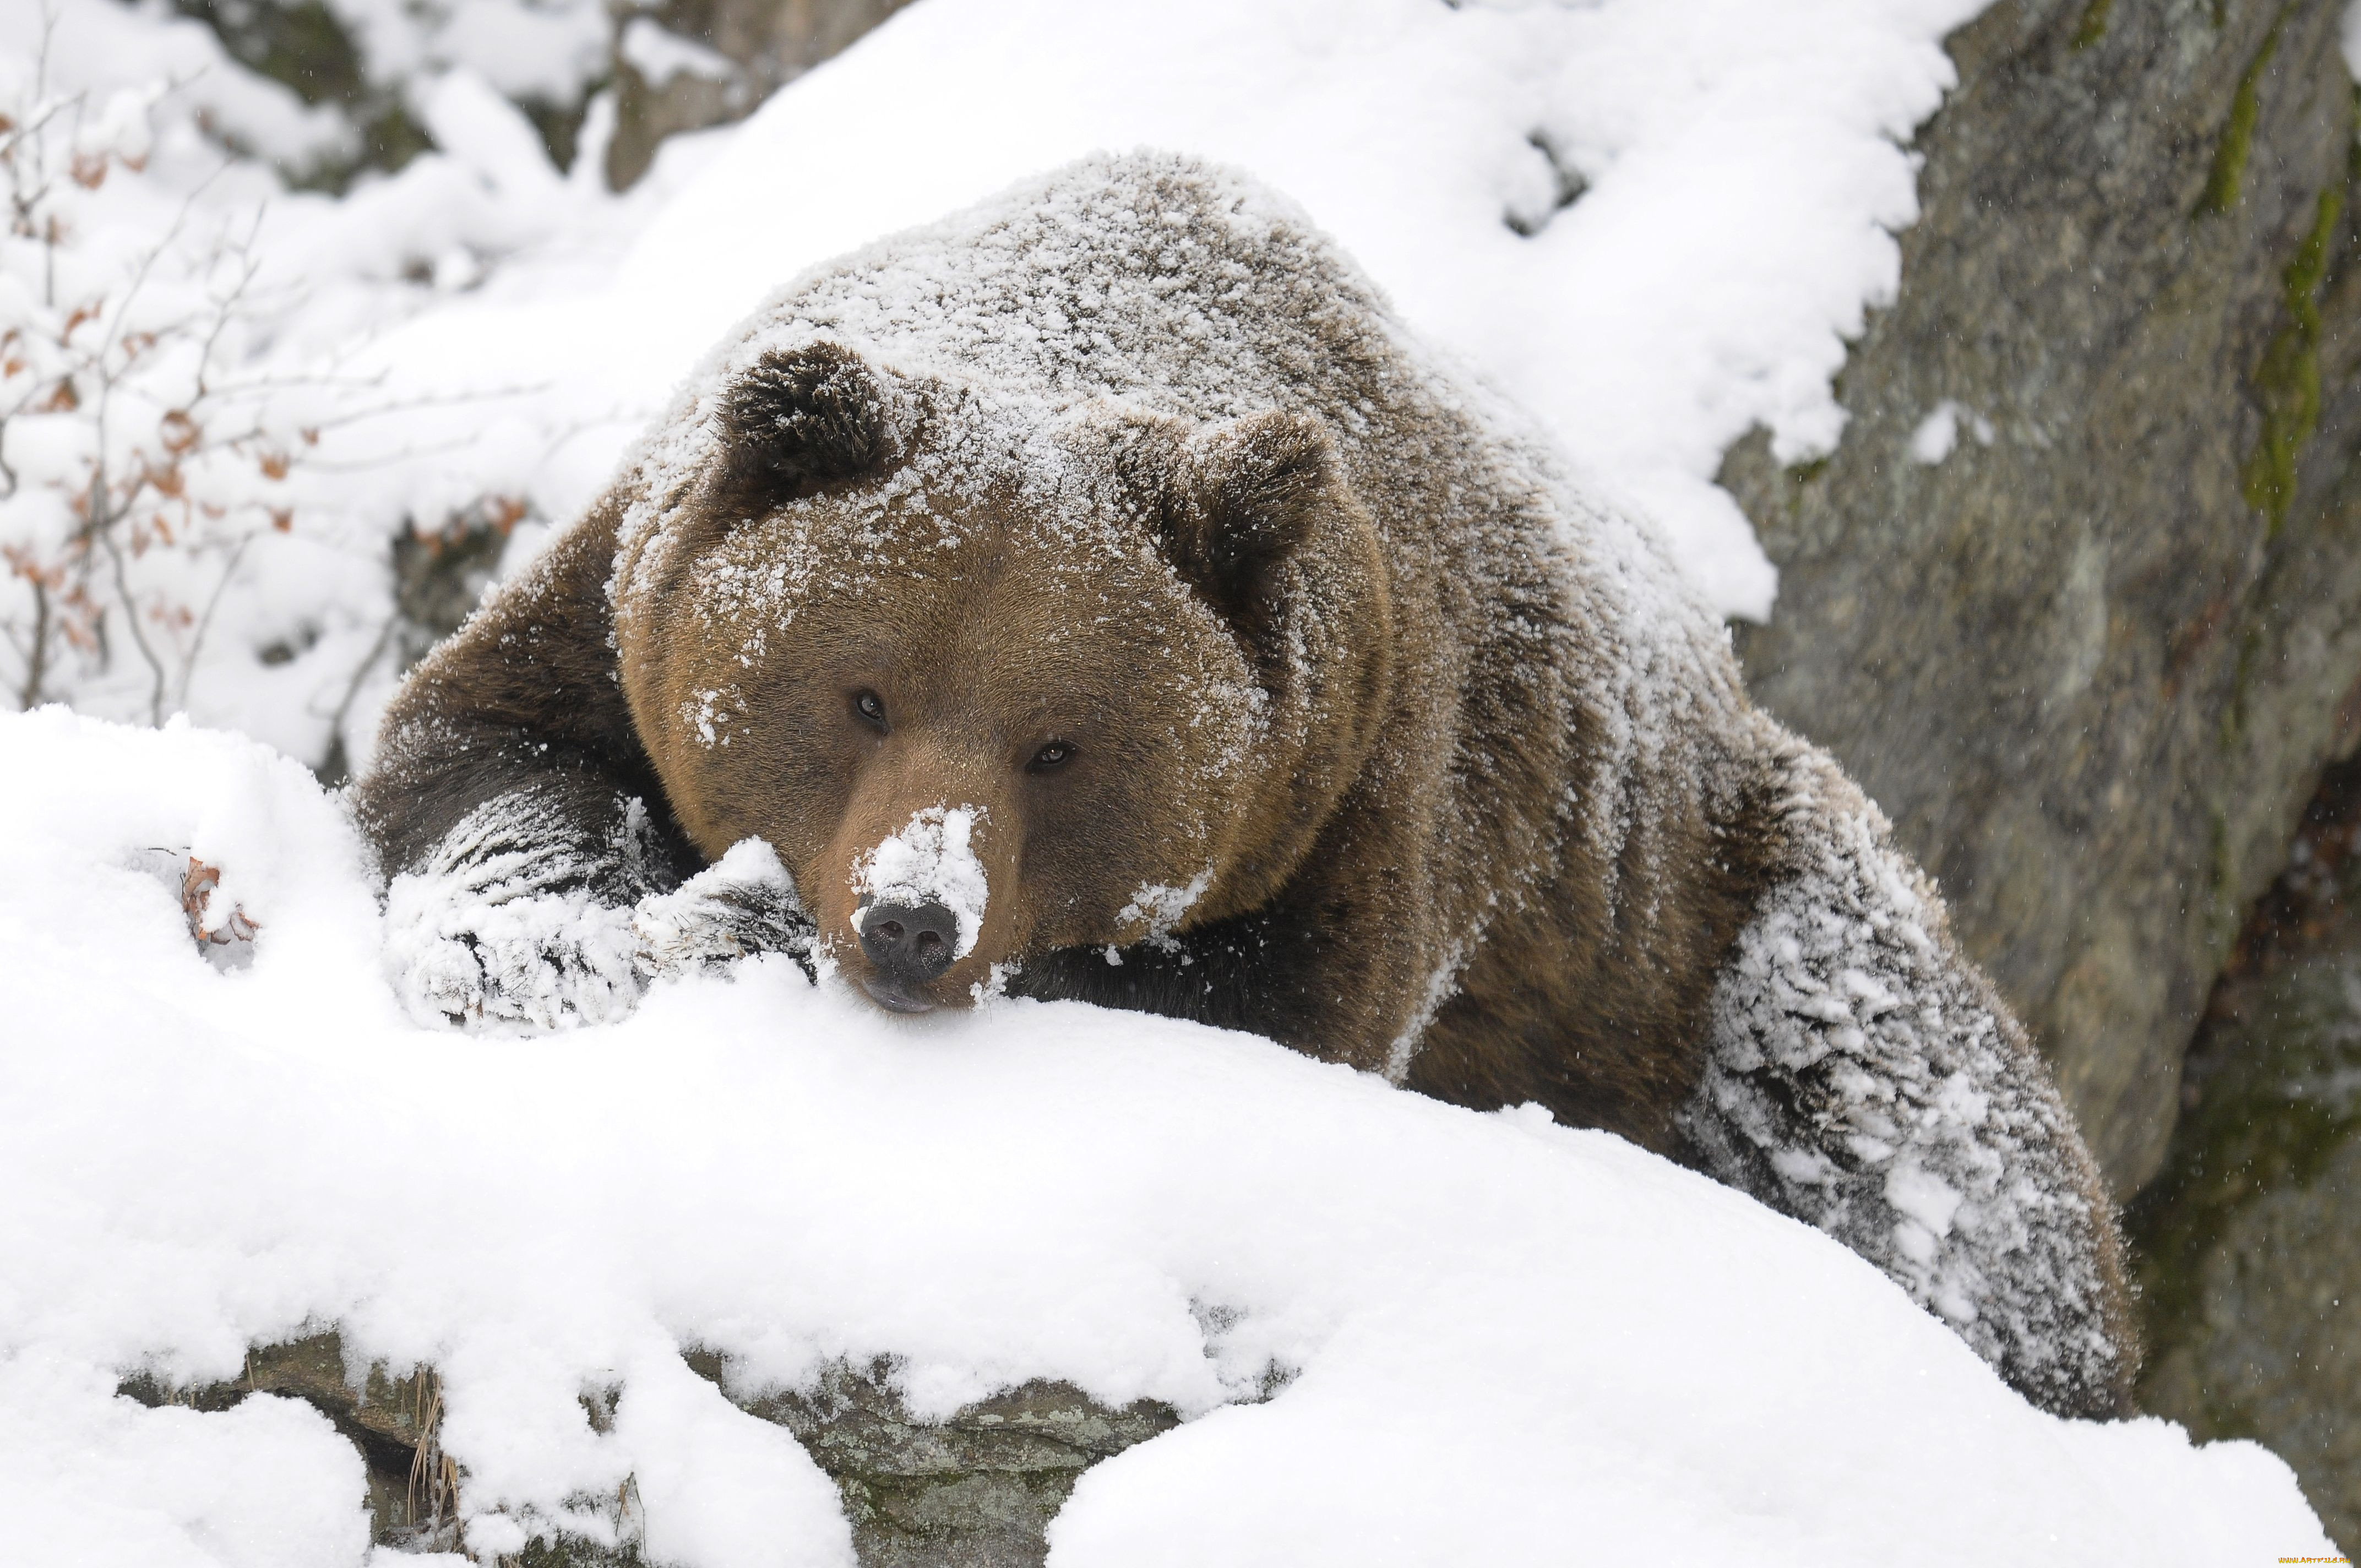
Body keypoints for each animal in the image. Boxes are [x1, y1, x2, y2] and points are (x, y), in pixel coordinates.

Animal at [363, 150, 2144, 1417]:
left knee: (1919, 1133)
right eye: (861, 691)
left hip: (1707, 916)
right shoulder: (627, 593)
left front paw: (736, 926)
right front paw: (533, 939)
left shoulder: (1364, 784)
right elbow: (481, 742)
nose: (912, 919)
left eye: (1059, 742)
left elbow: (1252, 1007)